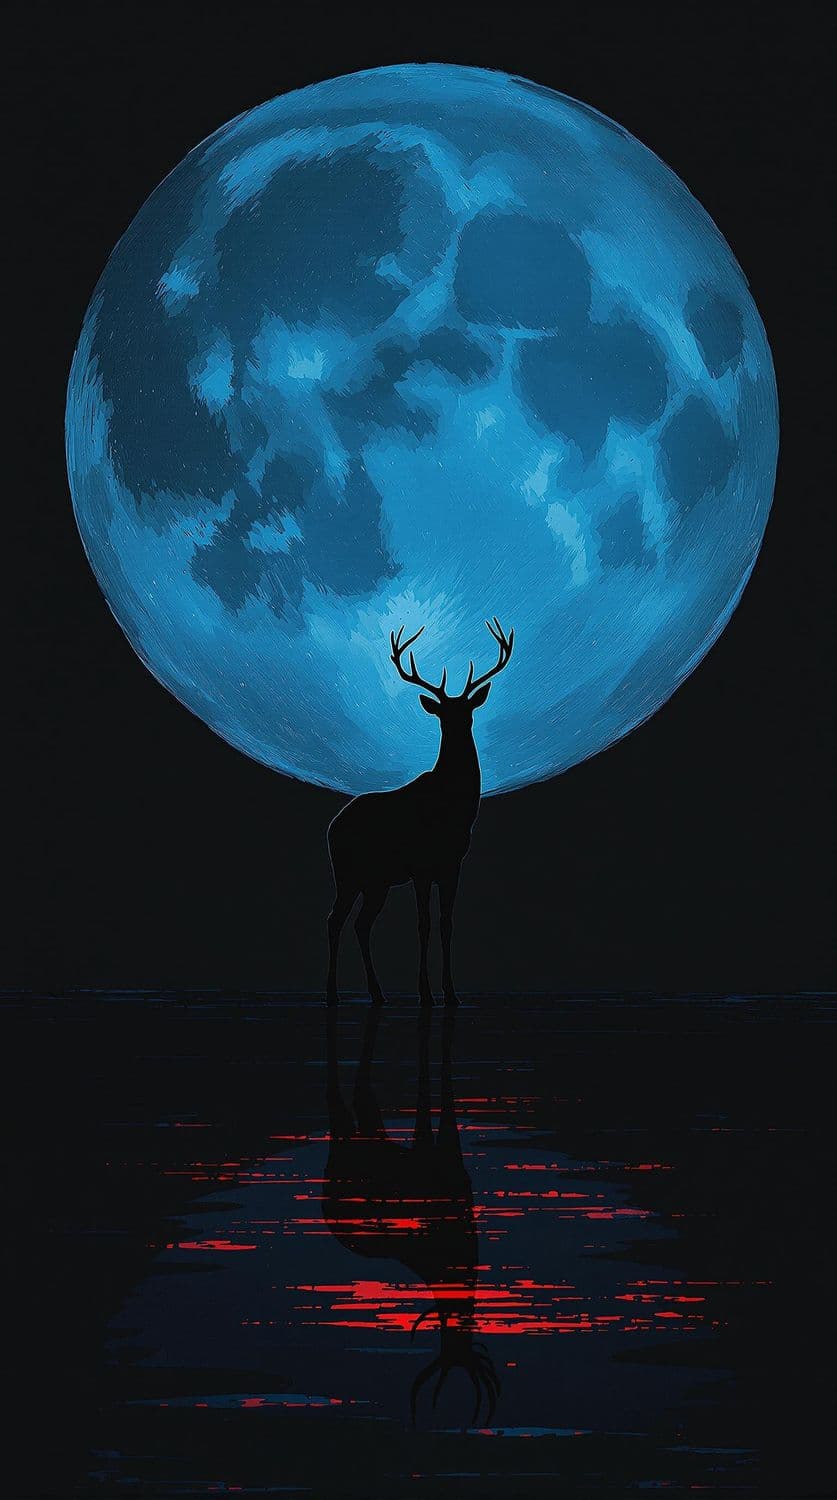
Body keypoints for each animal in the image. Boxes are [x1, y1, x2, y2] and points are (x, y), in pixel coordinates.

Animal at [326, 618, 514, 1007]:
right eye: (444, 713)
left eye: (467, 710)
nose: (458, 725)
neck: (453, 808)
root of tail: (331, 826)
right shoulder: (421, 866)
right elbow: (423, 924)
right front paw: (426, 993)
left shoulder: (453, 865)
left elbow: (446, 924)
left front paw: (451, 993)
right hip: (347, 873)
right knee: (335, 919)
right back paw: (333, 992)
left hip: (376, 882)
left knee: (360, 924)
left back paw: (378, 993)